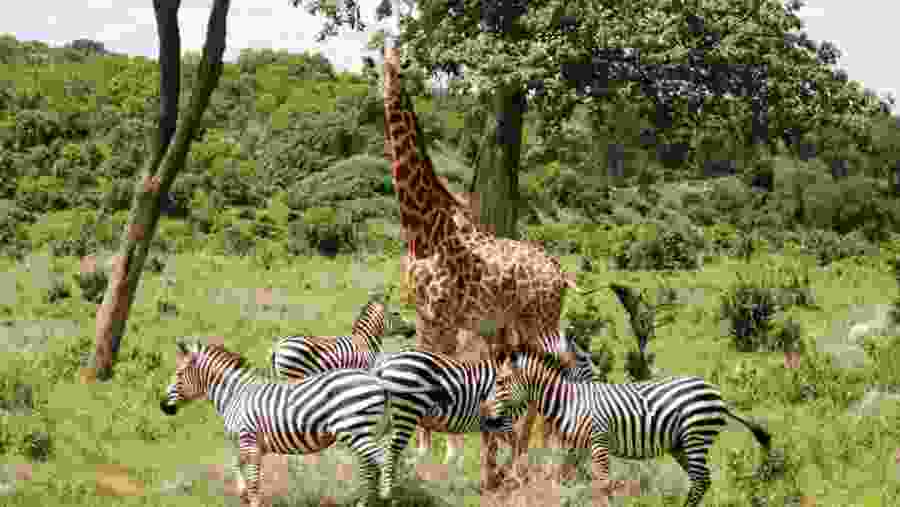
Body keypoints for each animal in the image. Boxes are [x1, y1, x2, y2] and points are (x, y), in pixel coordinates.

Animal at [160, 339, 400, 507]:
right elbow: (237, 465)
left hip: (356, 430)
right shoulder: (251, 445)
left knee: (381, 460)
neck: (236, 395)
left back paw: (387, 497)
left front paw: (251, 499)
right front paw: (241, 493)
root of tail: (377, 380)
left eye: (179, 374)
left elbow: (253, 480)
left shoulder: (249, 440)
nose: (162, 406)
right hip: (363, 432)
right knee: (371, 466)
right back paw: (365, 502)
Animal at [270, 297, 415, 381]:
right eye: (396, 313)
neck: (365, 341)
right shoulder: (363, 370)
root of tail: (278, 347)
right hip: (293, 375)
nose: (413, 329)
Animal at [495, 351, 773, 507]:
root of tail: (718, 394)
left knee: (701, 479)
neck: (571, 402)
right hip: (681, 445)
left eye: (500, 382)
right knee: (700, 481)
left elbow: (603, 484)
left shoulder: (599, 443)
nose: (491, 418)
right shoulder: (579, 447)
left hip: (695, 436)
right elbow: (569, 476)